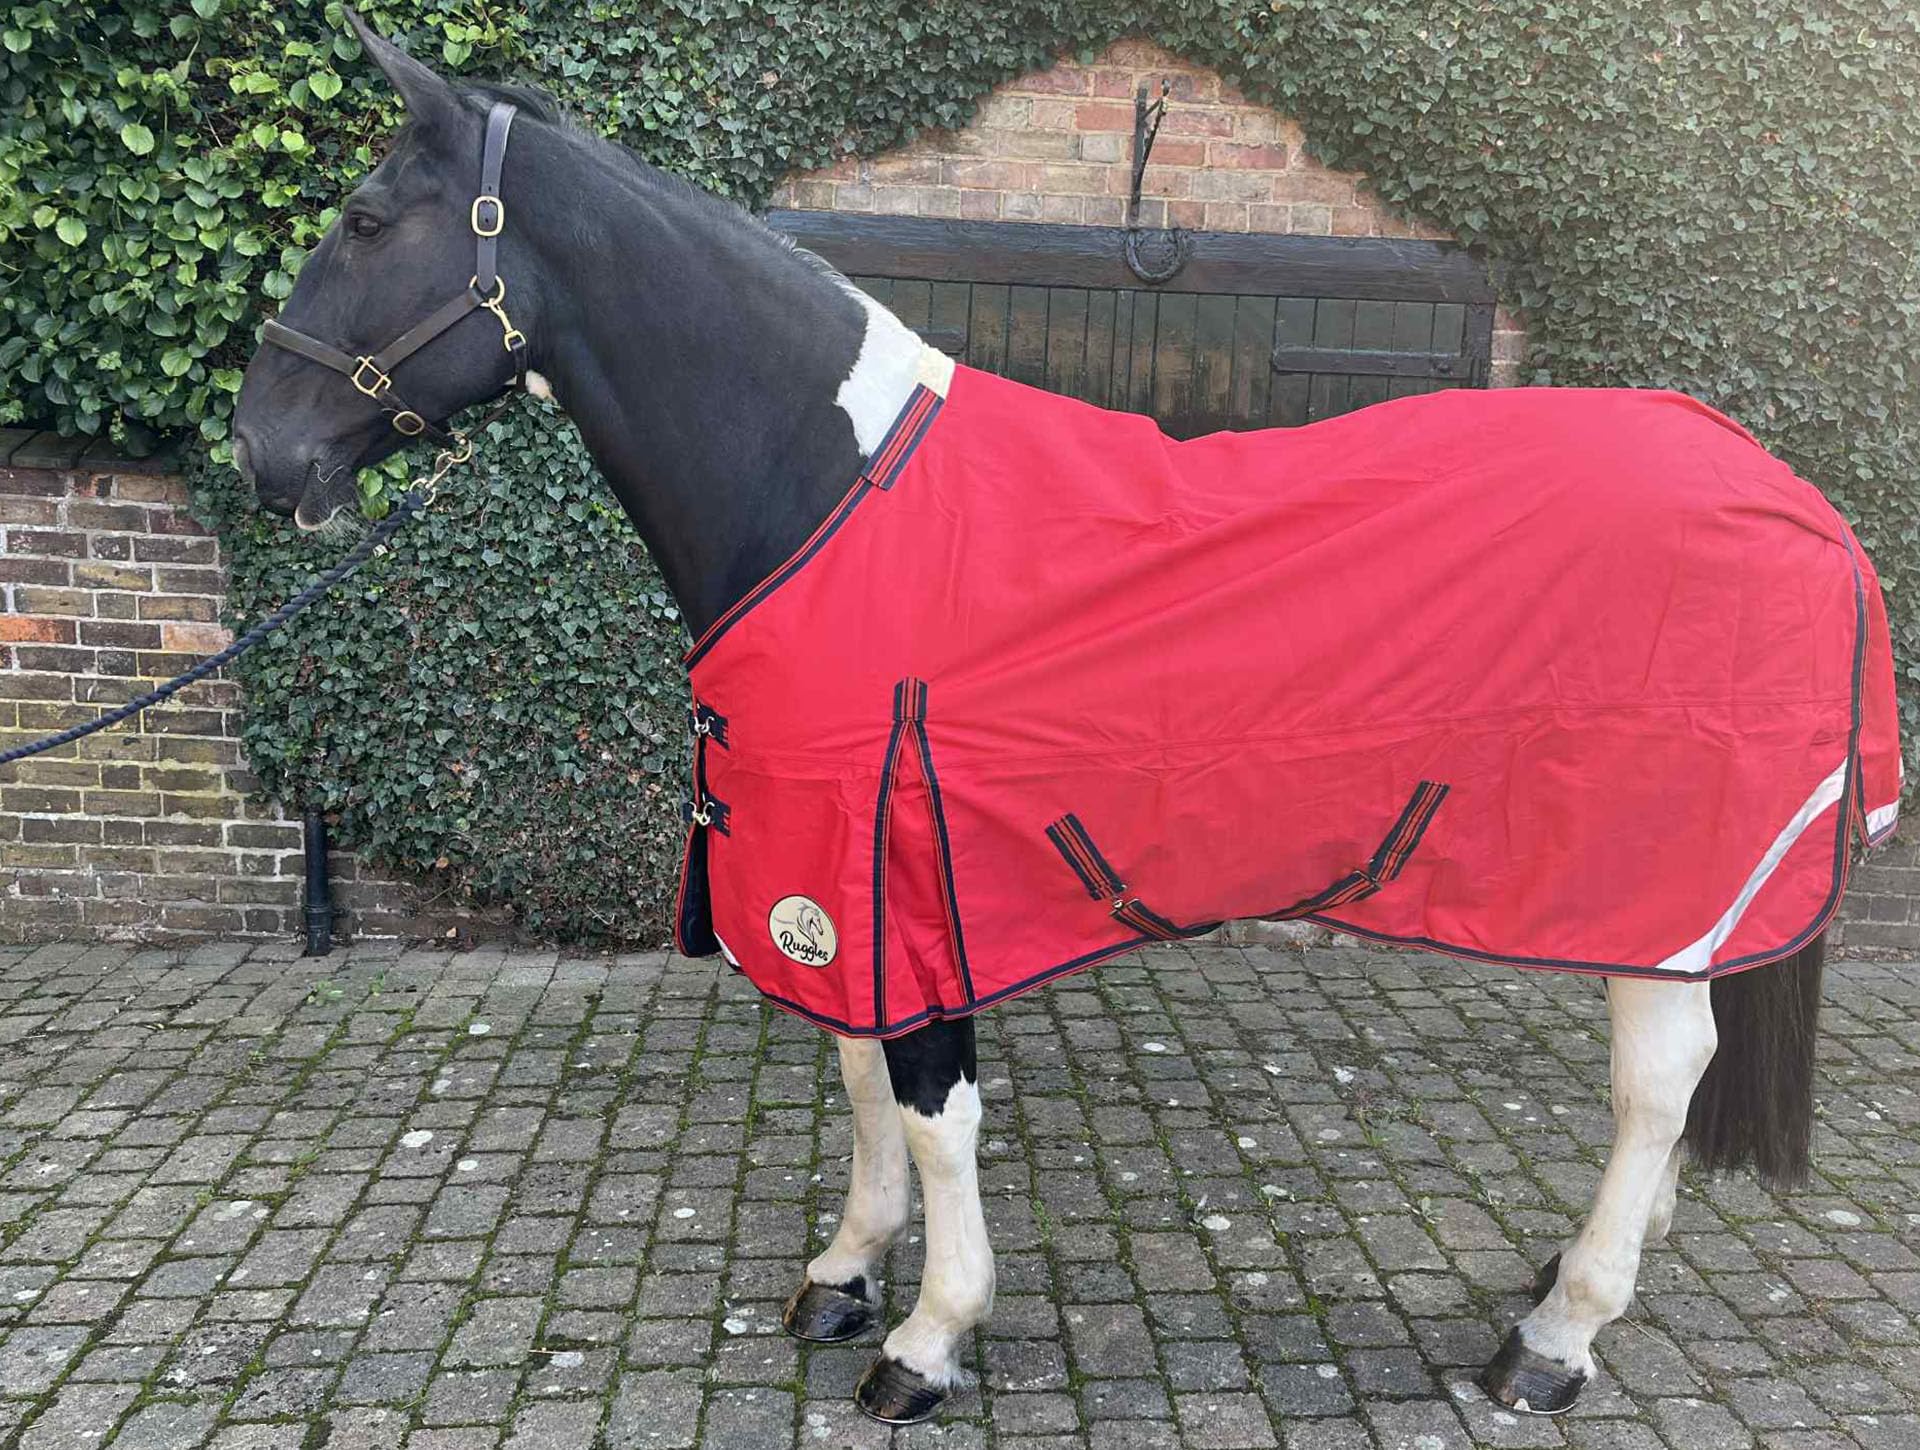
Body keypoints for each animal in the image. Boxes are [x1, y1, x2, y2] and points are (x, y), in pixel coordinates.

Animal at [233, 16, 1897, 1424]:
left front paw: (927, 1339)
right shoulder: (840, 872)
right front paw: (845, 1275)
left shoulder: (908, 863)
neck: (830, 496)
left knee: (1657, 1076)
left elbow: (932, 1110)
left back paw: (1559, 1333)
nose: (263, 448)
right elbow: (859, 1078)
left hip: (1661, 866)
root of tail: (1794, 499)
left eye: (367, 221)